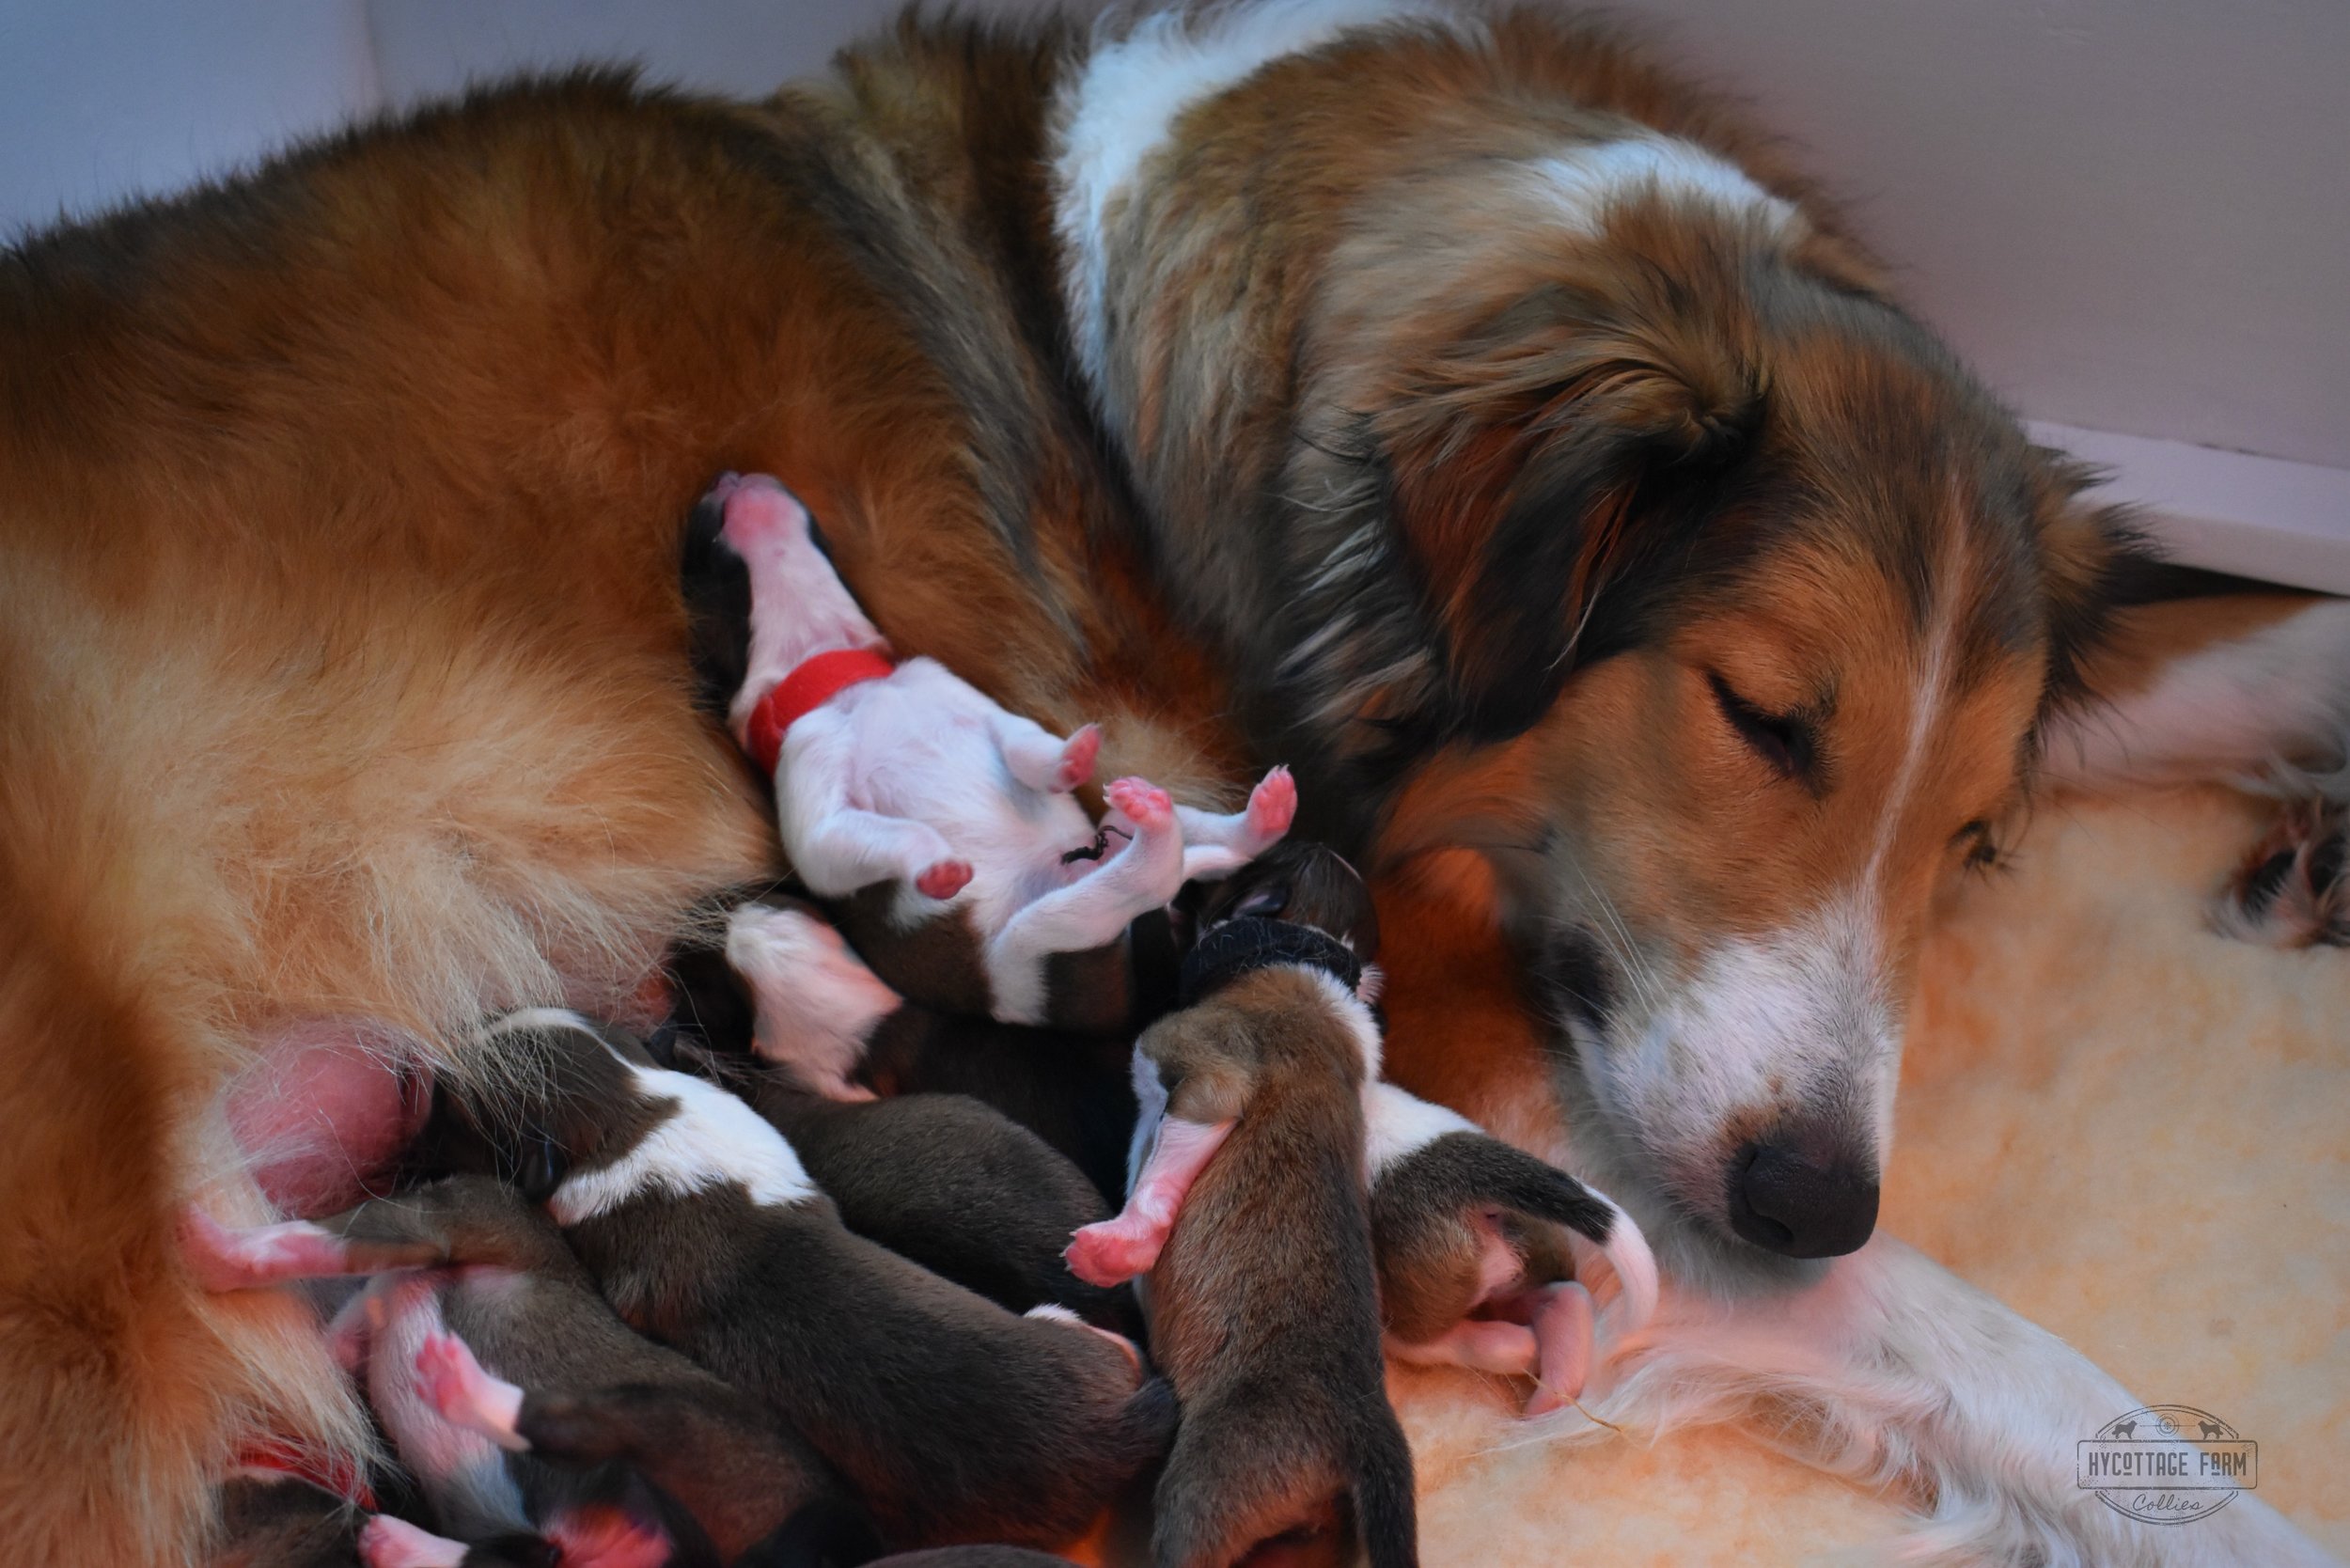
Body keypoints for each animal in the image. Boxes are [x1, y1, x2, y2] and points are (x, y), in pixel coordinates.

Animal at [682, 472, 1307, 1034]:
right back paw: (1161, 837)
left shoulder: (982, 711)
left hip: (1113, 830)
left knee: (1208, 846)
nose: (730, 474)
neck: (842, 681)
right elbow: (859, 839)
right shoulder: (816, 817)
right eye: (697, 558)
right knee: (1144, 877)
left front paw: (1070, 758)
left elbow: (1027, 745)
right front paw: (936, 864)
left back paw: (1258, 817)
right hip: (1036, 946)